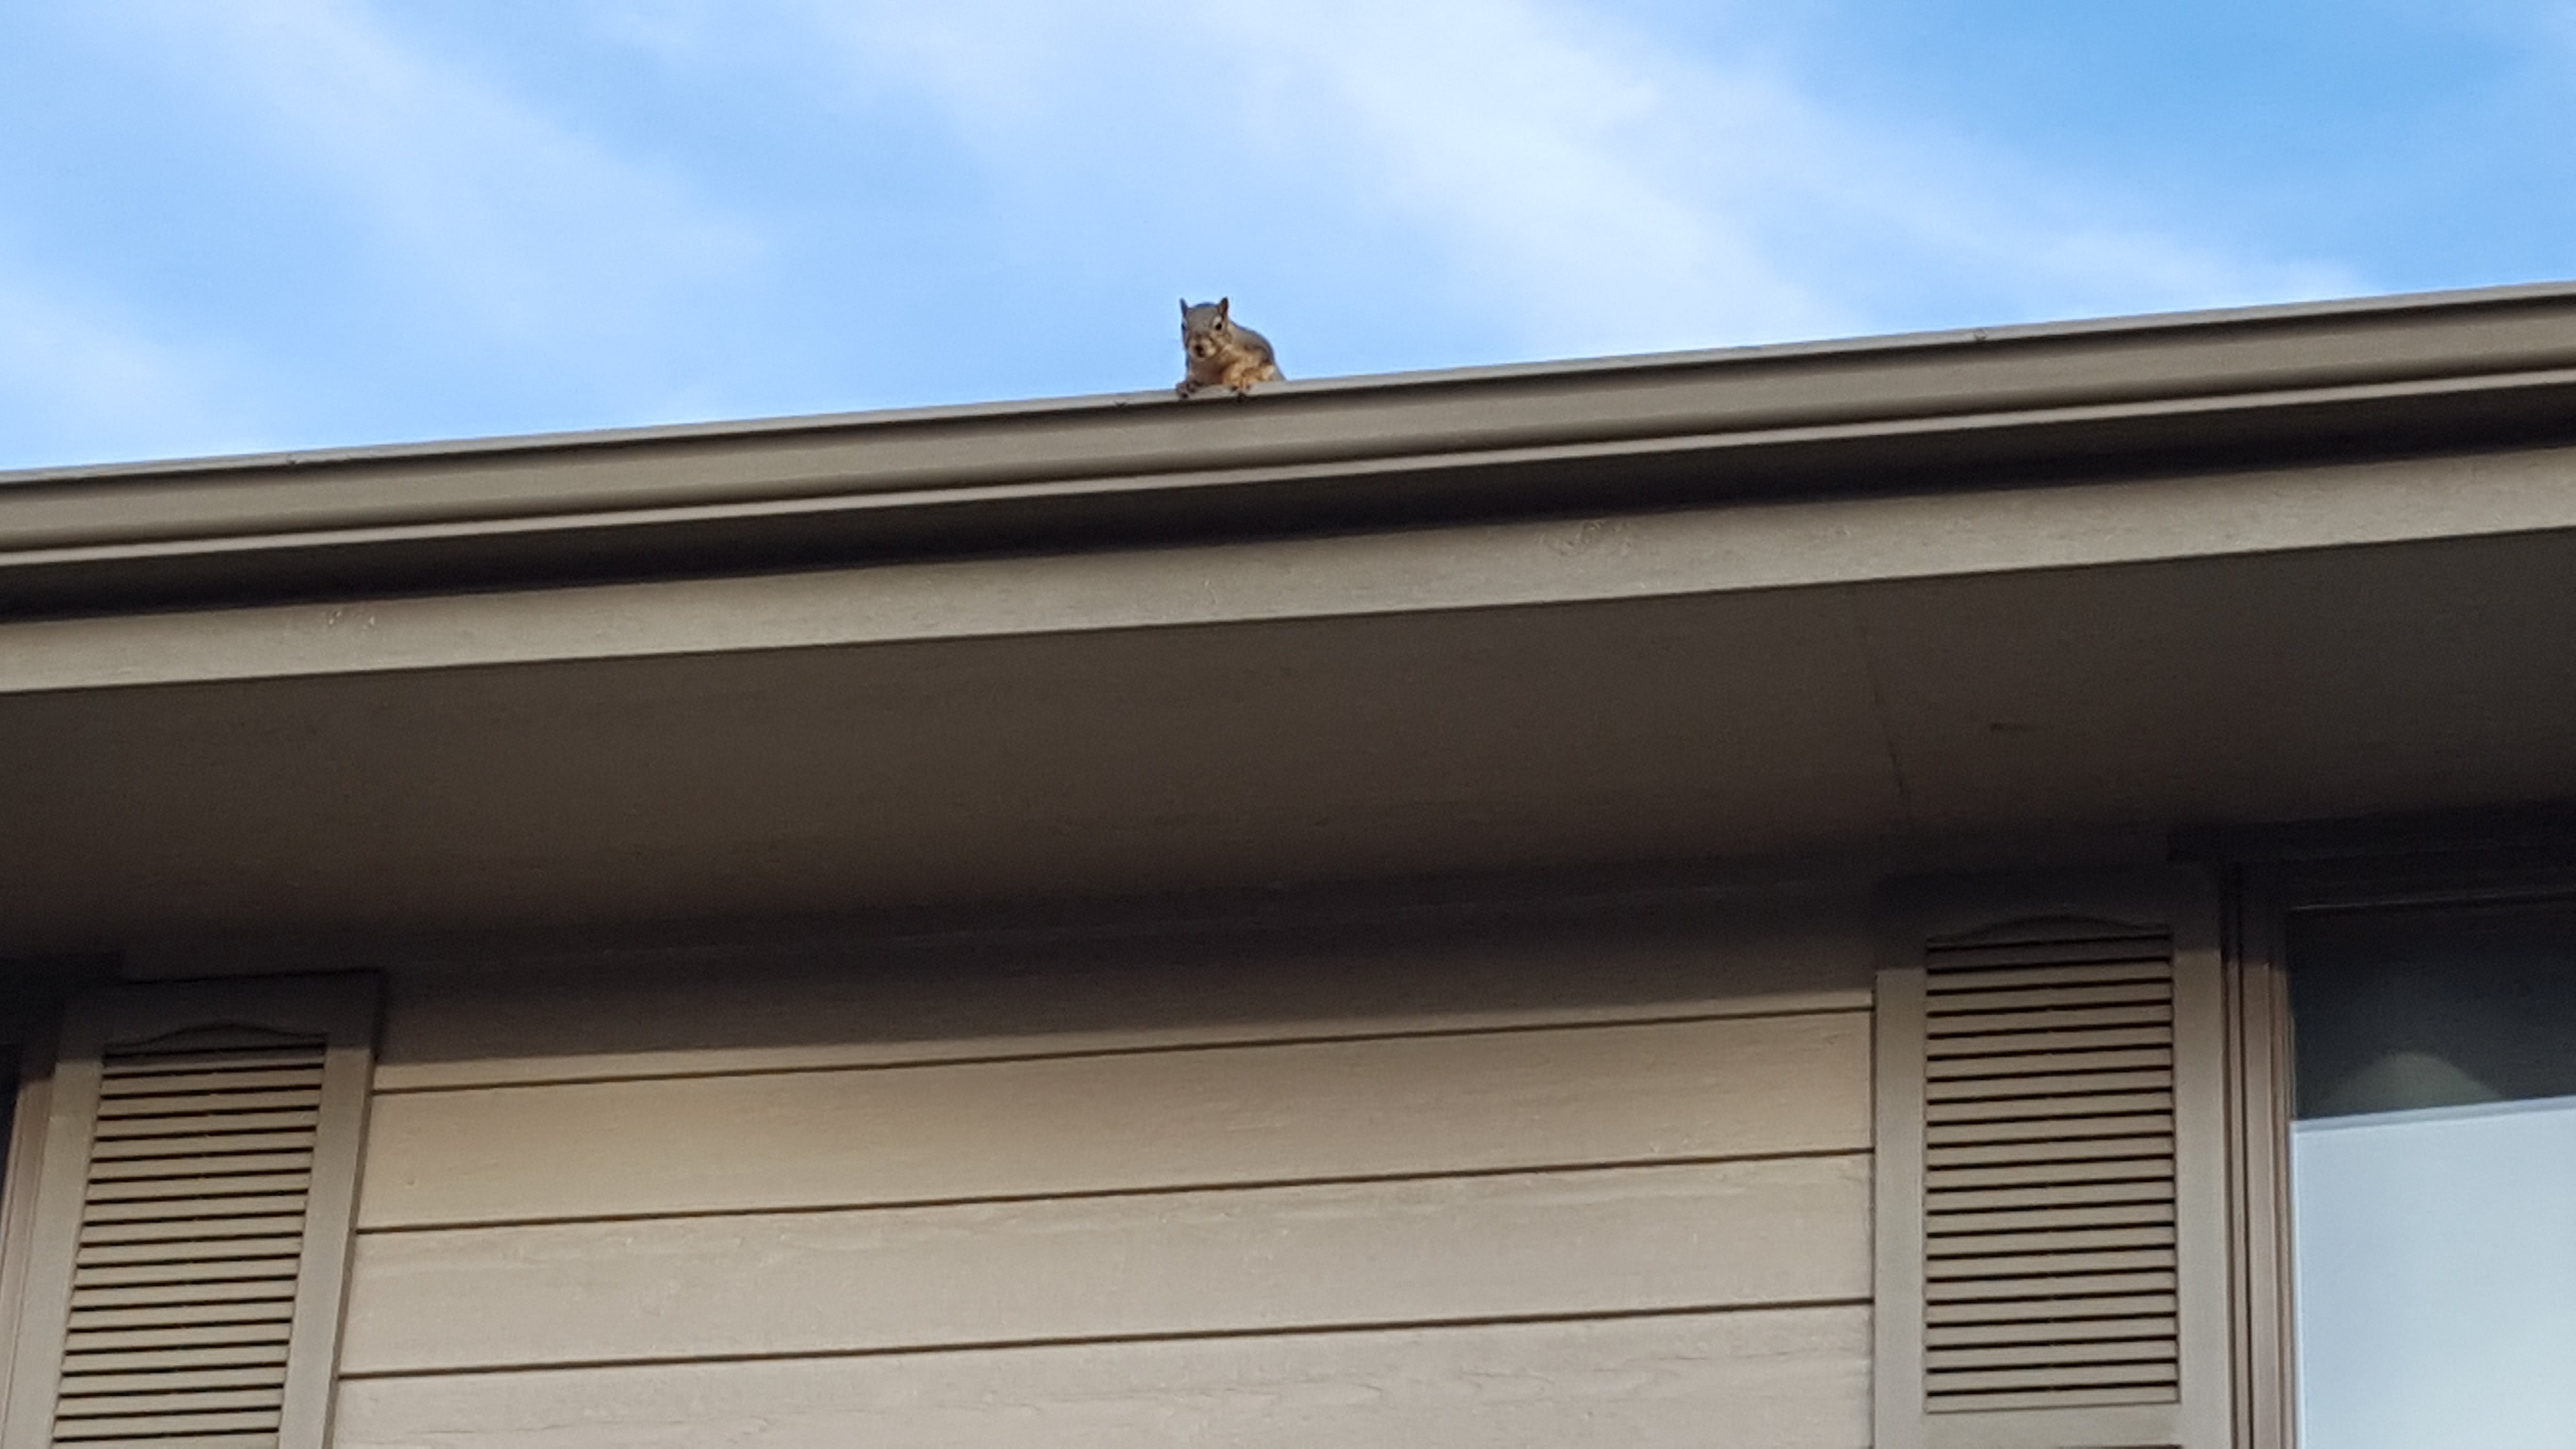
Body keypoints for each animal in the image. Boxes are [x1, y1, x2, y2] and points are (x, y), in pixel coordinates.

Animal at [1177, 298, 1283, 397]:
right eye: (1183, 326)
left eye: (1219, 326)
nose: (1198, 346)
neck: (1213, 360)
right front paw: (1187, 384)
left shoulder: (1258, 352)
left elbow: (1239, 366)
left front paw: (1237, 380)